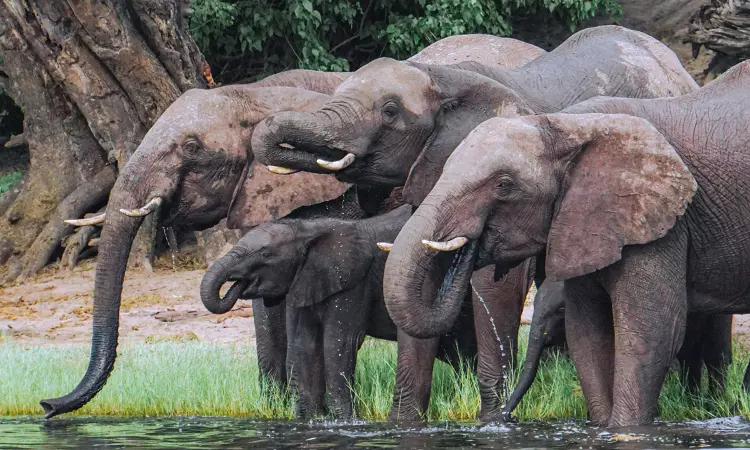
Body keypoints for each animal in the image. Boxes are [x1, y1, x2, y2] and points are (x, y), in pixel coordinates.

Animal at [502, 281, 734, 421]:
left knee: (715, 352)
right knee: (691, 354)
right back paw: (693, 401)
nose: (509, 417)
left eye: (561, 311)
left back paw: (714, 404)